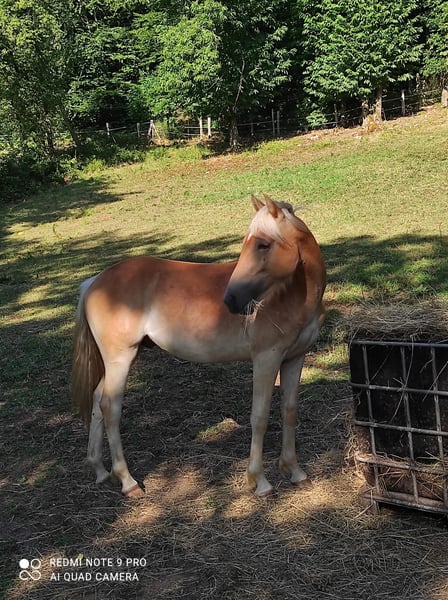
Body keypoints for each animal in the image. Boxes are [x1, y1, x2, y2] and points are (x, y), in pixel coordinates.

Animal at [72, 195, 326, 498]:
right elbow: (260, 417)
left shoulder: (294, 357)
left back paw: (100, 470)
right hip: (120, 358)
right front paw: (260, 482)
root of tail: (94, 282)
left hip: (119, 360)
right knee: (110, 406)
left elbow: (289, 411)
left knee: (98, 400)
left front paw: (295, 471)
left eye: (263, 244)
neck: (291, 295)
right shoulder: (266, 359)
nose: (231, 300)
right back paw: (127, 480)